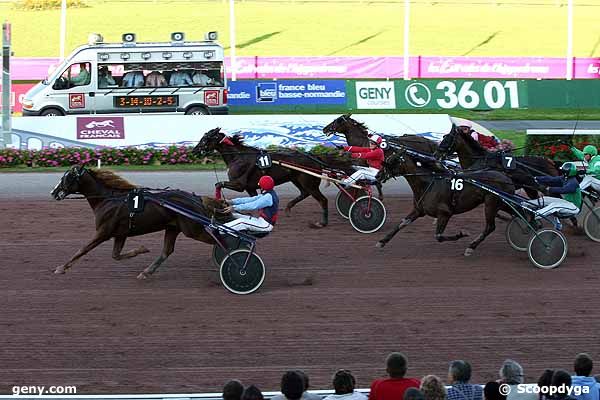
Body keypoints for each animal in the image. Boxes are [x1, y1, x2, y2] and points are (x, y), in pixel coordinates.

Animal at [51, 165, 232, 278]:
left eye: (67, 177)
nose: (54, 192)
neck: (108, 199)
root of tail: (195, 198)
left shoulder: (104, 232)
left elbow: (82, 249)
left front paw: (61, 268)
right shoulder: (120, 234)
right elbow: (116, 256)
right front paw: (142, 249)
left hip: (193, 229)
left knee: (221, 239)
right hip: (173, 228)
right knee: (167, 251)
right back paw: (146, 272)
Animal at [195, 128, 356, 228]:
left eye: (206, 138)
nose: (195, 150)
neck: (238, 156)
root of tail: (314, 157)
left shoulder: (239, 184)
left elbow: (218, 184)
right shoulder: (250, 187)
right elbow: (255, 201)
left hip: (309, 182)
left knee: (322, 200)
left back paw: (322, 223)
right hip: (297, 179)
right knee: (304, 193)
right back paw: (288, 208)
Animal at [376, 150, 516, 256]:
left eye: (391, 161)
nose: (377, 175)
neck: (428, 183)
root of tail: (506, 177)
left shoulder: (444, 213)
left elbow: (439, 236)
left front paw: (462, 234)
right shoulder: (418, 210)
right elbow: (402, 223)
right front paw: (382, 241)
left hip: (491, 203)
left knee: (490, 227)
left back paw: (471, 247)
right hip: (502, 204)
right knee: (514, 214)